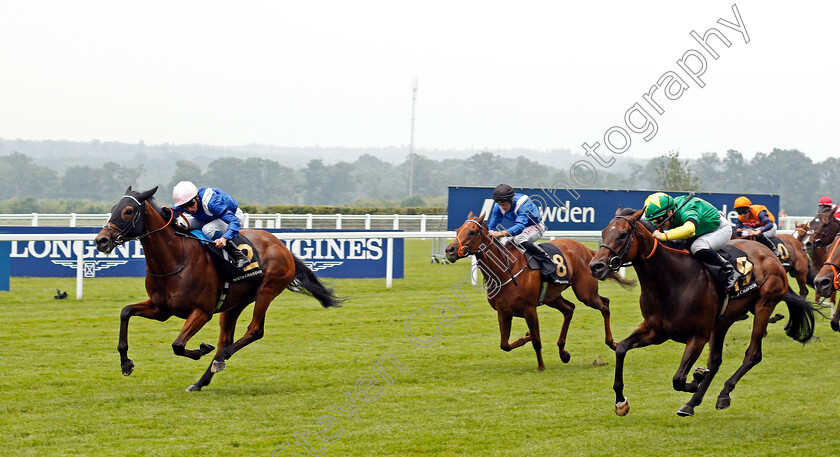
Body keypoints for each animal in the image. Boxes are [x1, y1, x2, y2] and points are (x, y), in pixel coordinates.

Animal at [92, 187, 342, 390]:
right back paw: (201, 381)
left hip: (267, 290)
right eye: (113, 208)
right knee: (228, 338)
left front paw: (202, 349)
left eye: (128, 211)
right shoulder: (161, 309)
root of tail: (282, 246)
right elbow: (125, 311)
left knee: (254, 330)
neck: (175, 259)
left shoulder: (202, 311)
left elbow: (178, 345)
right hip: (234, 303)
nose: (101, 240)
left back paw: (221, 358)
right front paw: (126, 363)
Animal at [442, 213, 632, 370]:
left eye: (472, 232)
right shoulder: (503, 312)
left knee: (604, 304)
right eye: (458, 230)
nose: (450, 250)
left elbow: (537, 341)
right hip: (552, 297)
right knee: (569, 309)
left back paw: (612, 343)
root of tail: (587, 250)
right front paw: (526, 336)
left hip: (586, 293)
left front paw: (541, 366)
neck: (505, 271)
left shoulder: (529, 310)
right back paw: (563, 352)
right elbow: (505, 344)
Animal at [588, 208, 816, 416]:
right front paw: (621, 402)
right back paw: (691, 404)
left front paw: (696, 378)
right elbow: (621, 348)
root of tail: (771, 255)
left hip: (764, 305)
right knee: (715, 362)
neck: (671, 281)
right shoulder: (656, 332)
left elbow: (679, 379)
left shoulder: (697, 336)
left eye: (622, 234)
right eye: (603, 232)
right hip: (723, 322)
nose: (595, 266)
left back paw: (723, 393)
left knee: (753, 355)